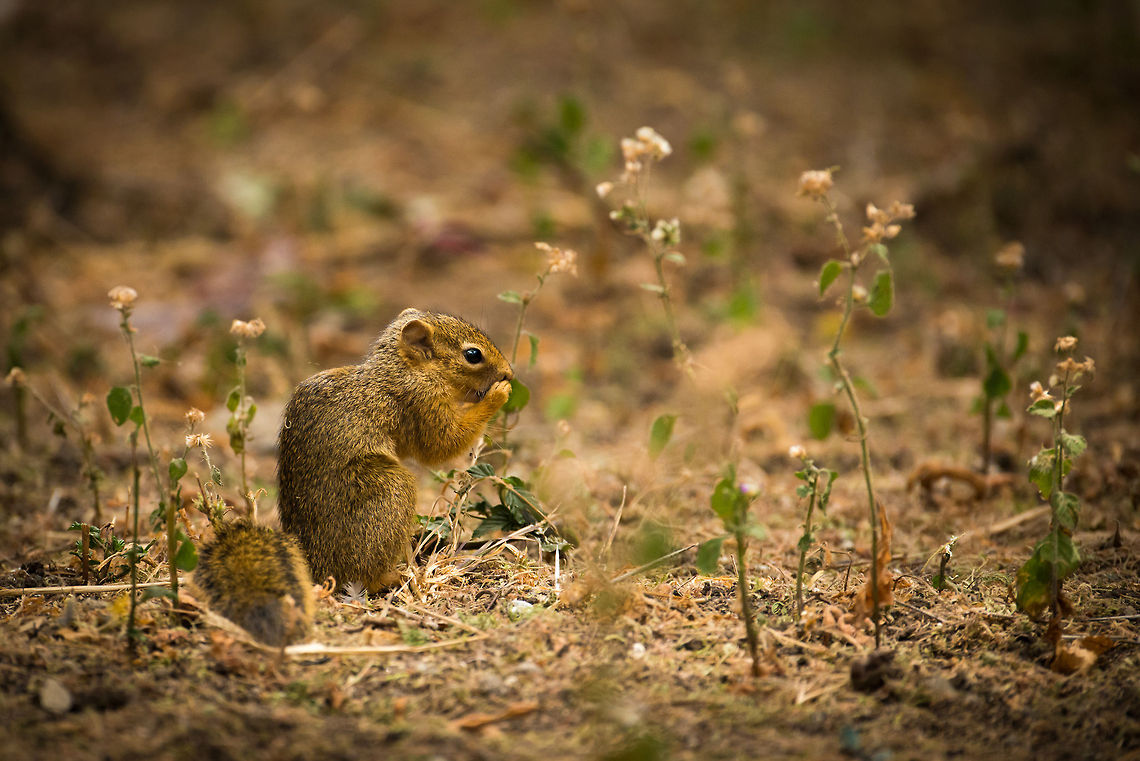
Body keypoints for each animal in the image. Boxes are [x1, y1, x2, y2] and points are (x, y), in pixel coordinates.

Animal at [195, 308, 513, 644]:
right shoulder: (420, 403)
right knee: (366, 576)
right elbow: (442, 442)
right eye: (473, 355)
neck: (401, 370)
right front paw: (498, 395)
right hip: (389, 490)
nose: (509, 372)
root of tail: (315, 566)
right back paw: (397, 575)